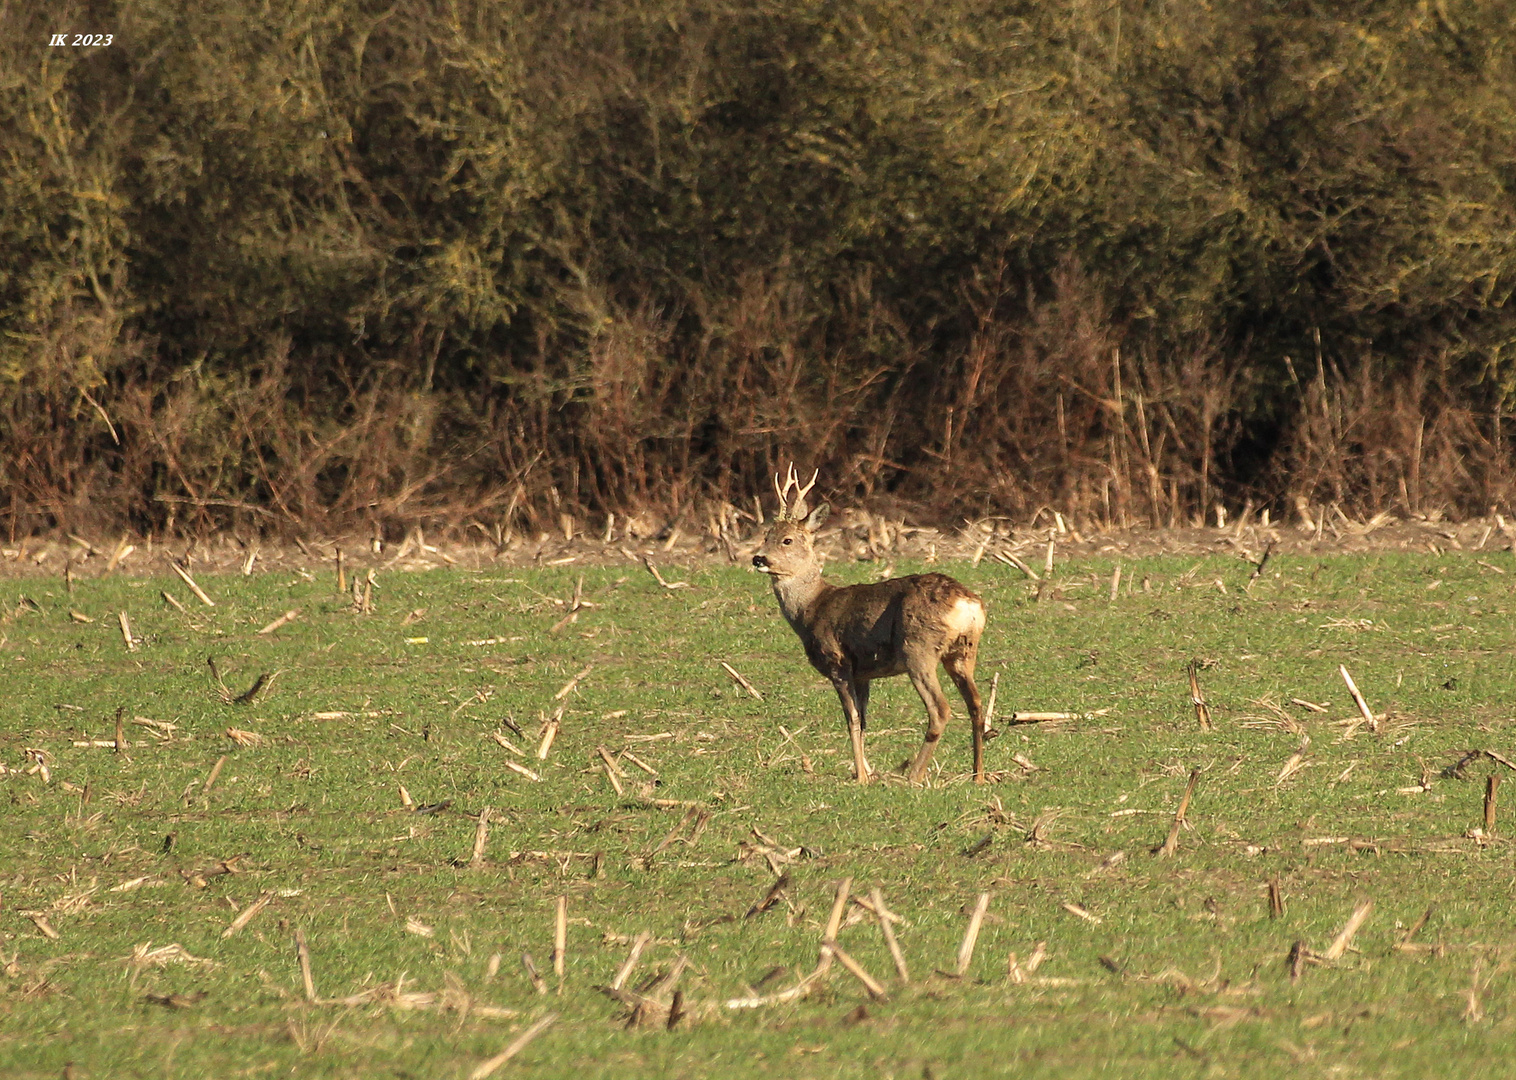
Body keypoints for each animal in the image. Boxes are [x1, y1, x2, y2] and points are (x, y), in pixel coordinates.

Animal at [751, 464, 988, 782]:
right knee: (976, 704)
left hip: (918, 648)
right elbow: (863, 721)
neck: (811, 609)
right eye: (767, 535)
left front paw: (861, 777)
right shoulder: (863, 673)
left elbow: (851, 719)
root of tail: (968, 604)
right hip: (963, 651)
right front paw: (864, 772)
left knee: (940, 709)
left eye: (787, 539)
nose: (758, 558)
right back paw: (978, 775)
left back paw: (913, 776)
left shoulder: (838, 661)